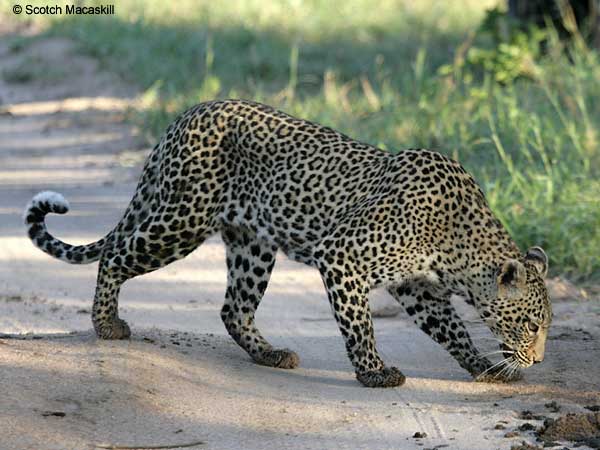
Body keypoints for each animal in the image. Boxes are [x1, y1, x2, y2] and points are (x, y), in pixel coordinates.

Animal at [23, 98, 552, 386]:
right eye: (529, 325)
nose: (539, 357)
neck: (458, 243)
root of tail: (187, 114)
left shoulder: (417, 287)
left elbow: (453, 329)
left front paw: (483, 367)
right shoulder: (342, 257)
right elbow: (360, 326)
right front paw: (374, 372)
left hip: (253, 244)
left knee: (233, 308)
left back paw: (269, 354)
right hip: (181, 220)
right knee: (114, 255)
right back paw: (107, 325)